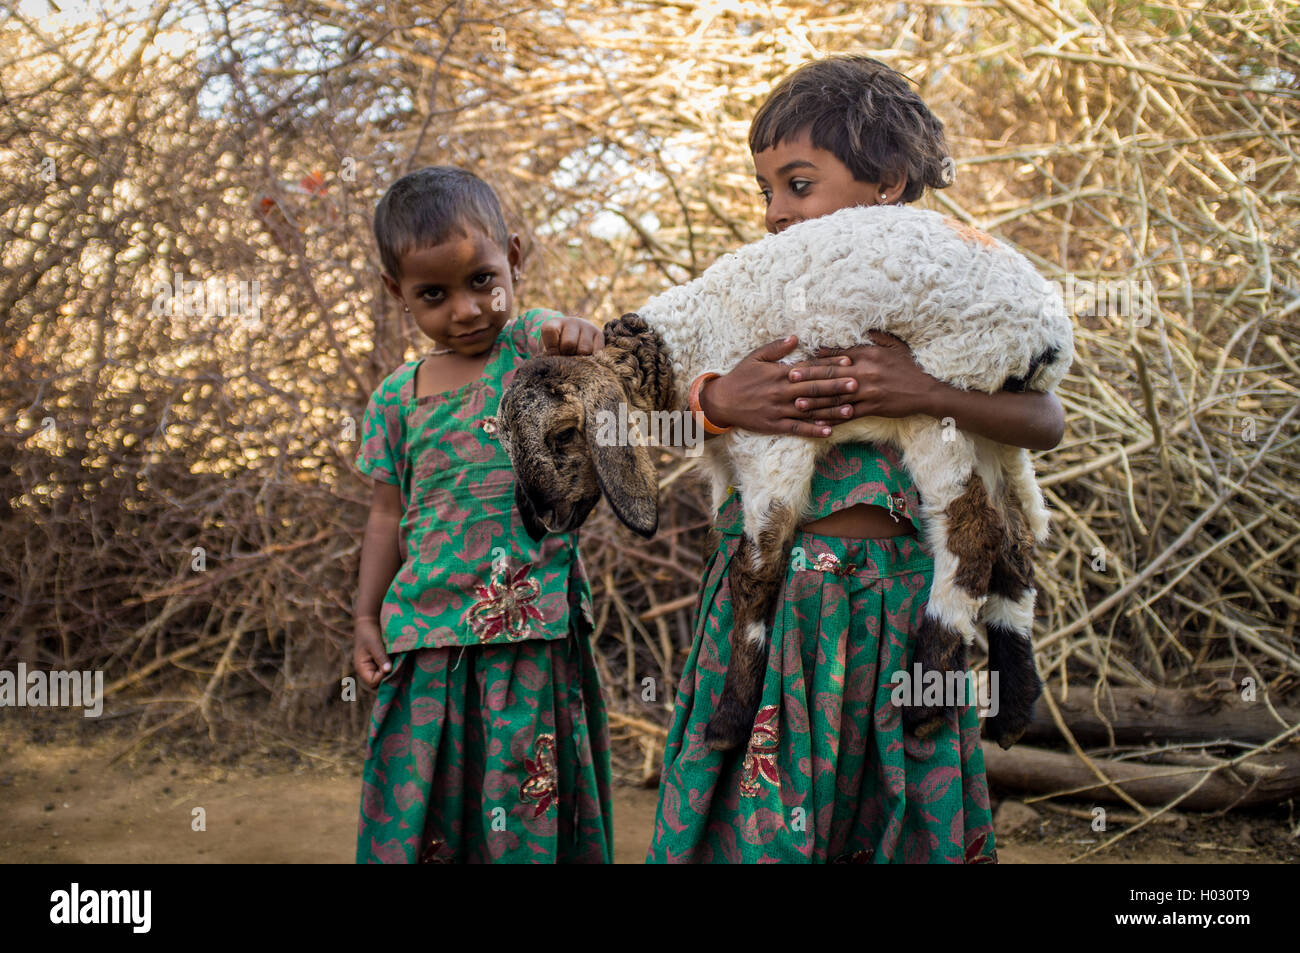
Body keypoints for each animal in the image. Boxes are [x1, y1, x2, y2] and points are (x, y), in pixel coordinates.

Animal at [491, 206, 1071, 748]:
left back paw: (926, 701)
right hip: (994, 431)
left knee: (971, 538)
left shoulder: (774, 444)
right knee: (1015, 546)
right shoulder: (727, 466)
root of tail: (1050, 336)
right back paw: (1014, 711)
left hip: (939, 394)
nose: (544, 517)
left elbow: (755, 571)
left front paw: (729, 721)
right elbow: (719, 548)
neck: (686, 345)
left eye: (564, 434)